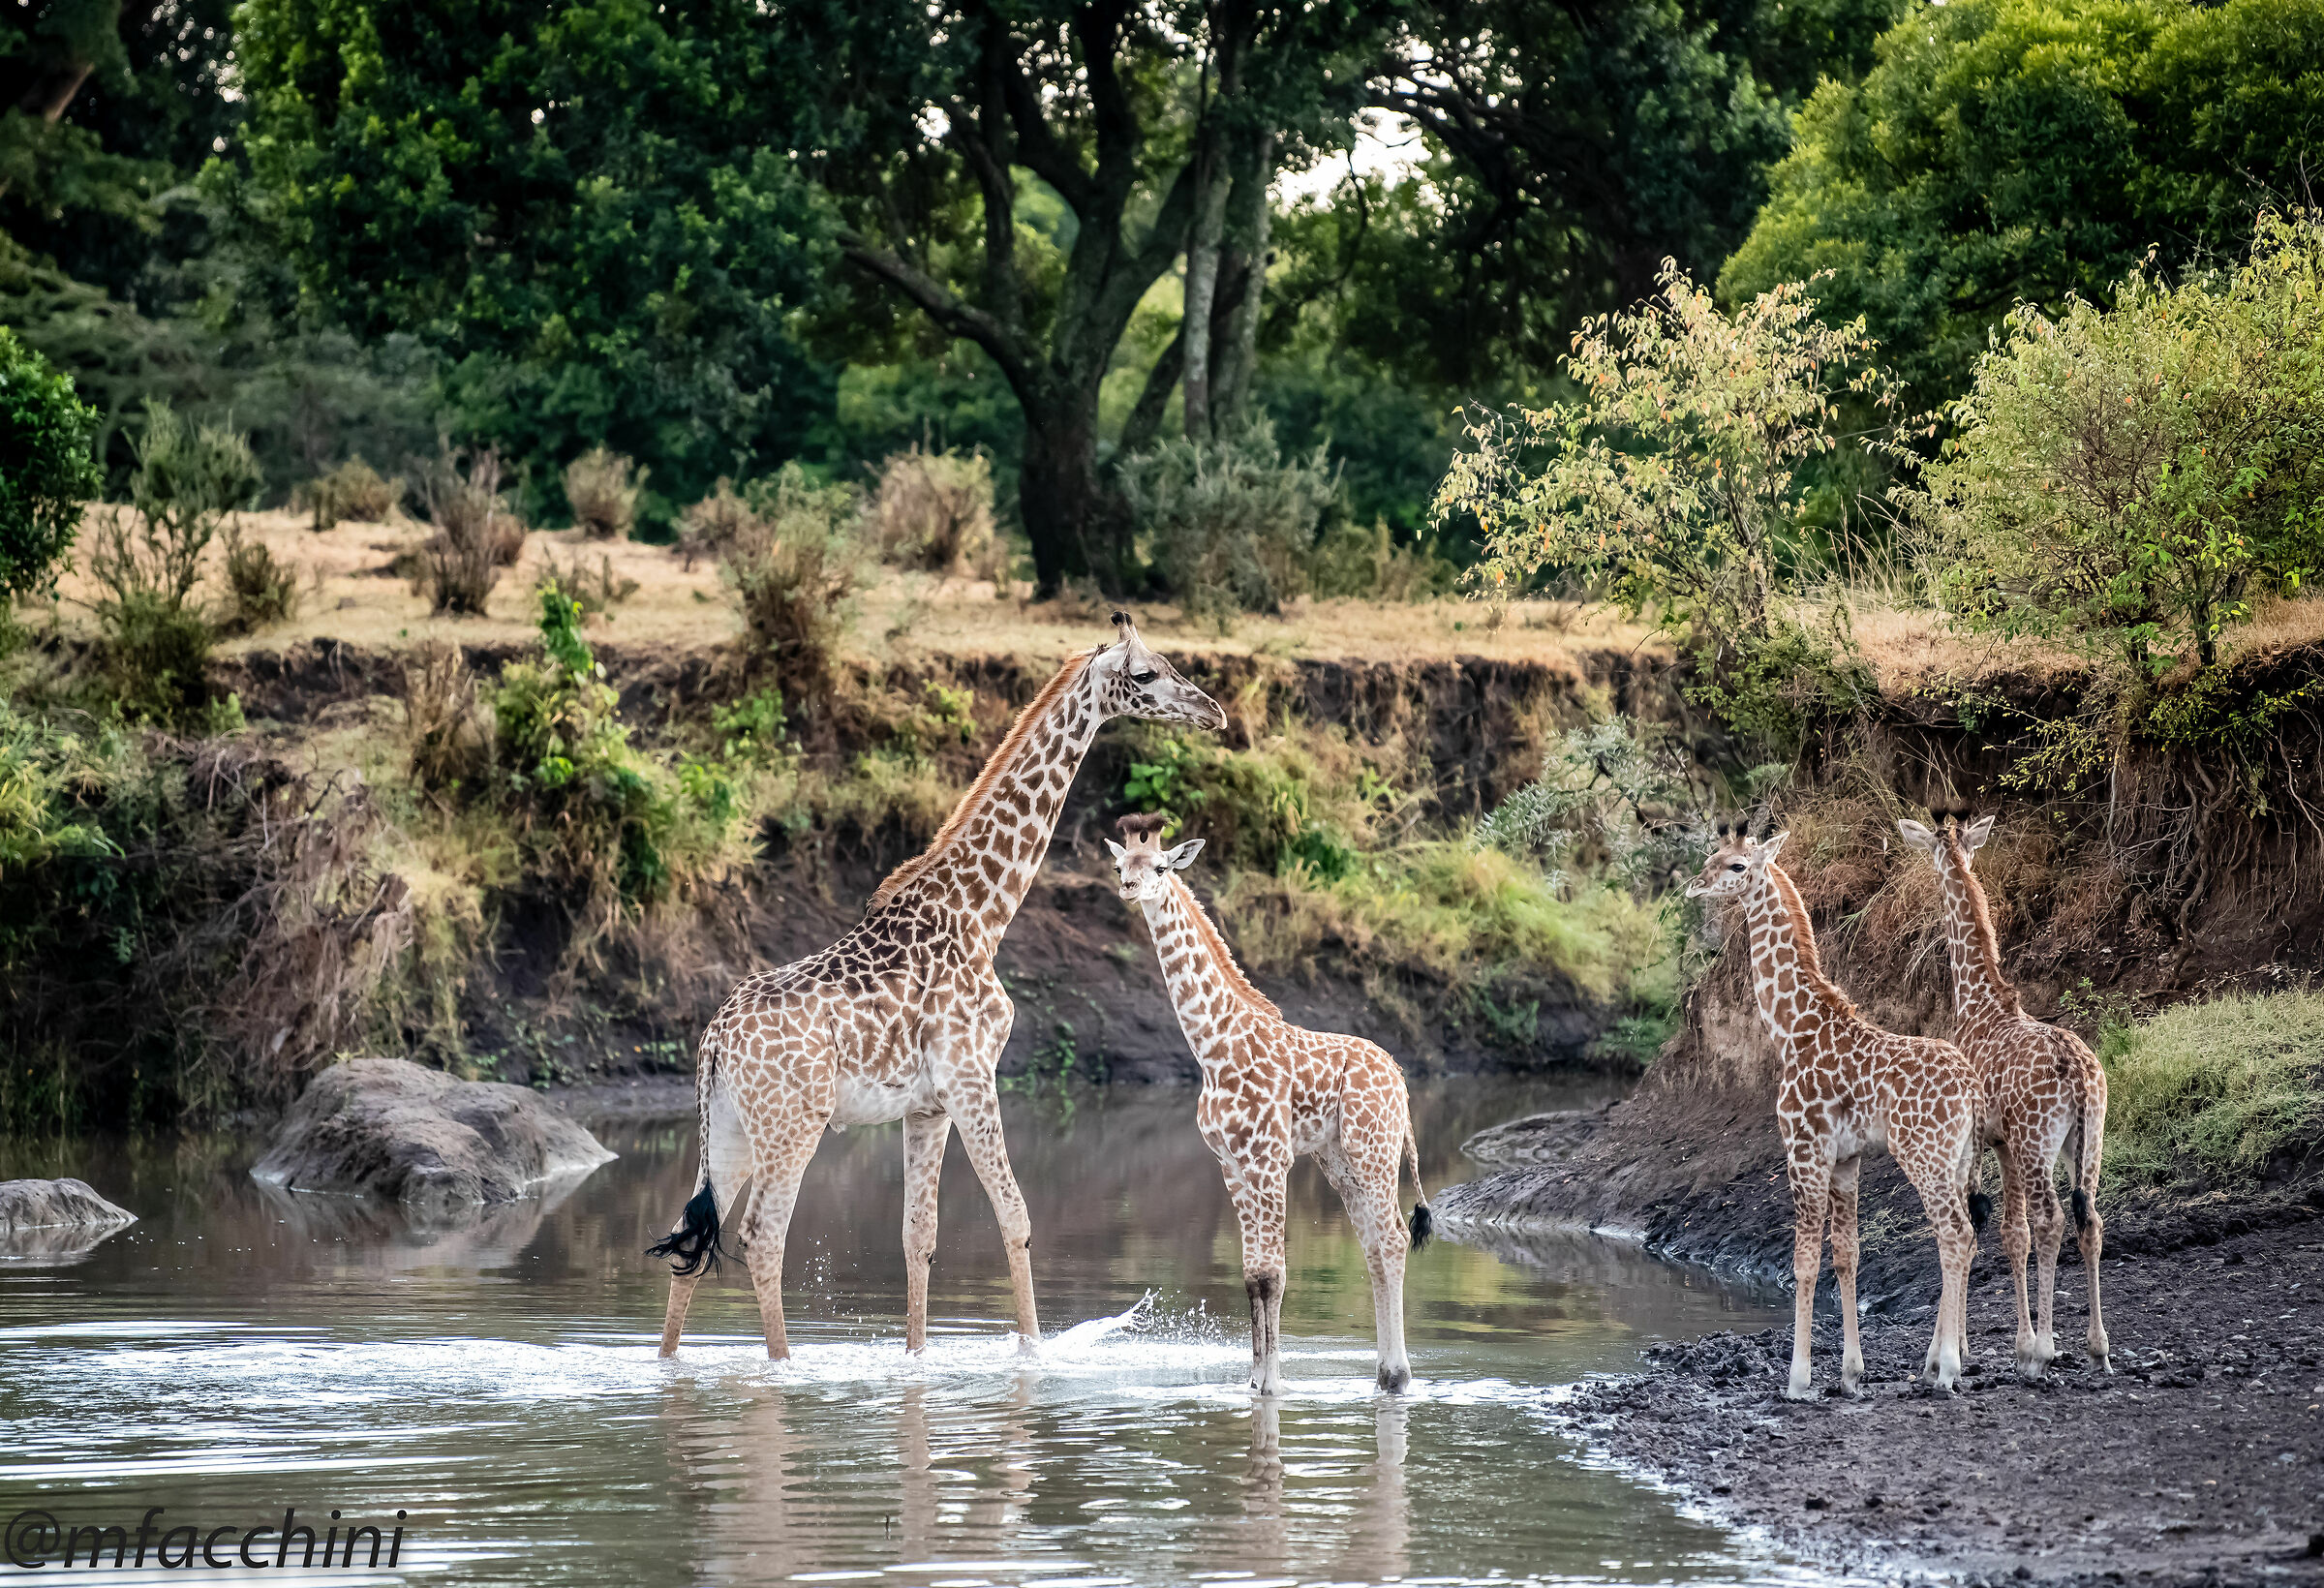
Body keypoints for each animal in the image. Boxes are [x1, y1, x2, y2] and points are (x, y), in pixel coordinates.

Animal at [650, 614, 1227, 1359]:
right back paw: (782, 1366)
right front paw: (1032, 1352)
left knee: (690, 1242)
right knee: (759, 1238)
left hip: (726, 1125)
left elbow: (917, 1238)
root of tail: (715, 1039)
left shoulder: (926, 1106)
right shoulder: (972, 1078)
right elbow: (1015, 1215)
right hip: (791, 1124)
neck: (982, 913)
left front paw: (917, 1357)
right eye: (1148, 673)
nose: (1211, 711)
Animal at [1106, 814, 1432, 1395]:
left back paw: (1397, 1375)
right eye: (1122, 864)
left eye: (1161, 866)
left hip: (1374, 1149)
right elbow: (1251, 1276)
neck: (1213, 1048)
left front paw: (1275, 1383)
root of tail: (1399, 1077)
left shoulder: (1269, 1160)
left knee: (1393, 1238)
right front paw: (1253, 1381)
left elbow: (1274, 1274)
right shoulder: (1232, 1166)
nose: (1129, 887)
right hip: (1339, 1159)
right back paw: (1381, 1374)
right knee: (1374, 1244)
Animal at [1687, 822, 1984, 1398]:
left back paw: (1947, 1370)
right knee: (1963, 1236)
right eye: (1712, 856)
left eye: (1737, 865)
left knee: (1956, 1234)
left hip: (1925, 1156)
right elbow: (1847, 1256)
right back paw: (1944, 1362)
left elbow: (1804, 1261)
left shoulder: (1804, 1147)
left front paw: (1798, 1378)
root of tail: (1972, 1090)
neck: (1791, 1028)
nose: (1694, 886)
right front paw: (1850, 1372)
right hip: (1959, 1159)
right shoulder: (1847, 1158)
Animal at [1897, 809, 2111, 1378]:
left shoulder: (1984, 1142)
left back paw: (2046, 1353)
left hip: (2039, 1143)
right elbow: (2011, 1234)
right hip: (2087, 1141)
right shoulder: (2004, 1142)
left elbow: (1984, 1227)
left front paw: (1960, 1351)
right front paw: (2010, 1343)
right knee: (2089, 1219)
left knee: (2051, 1219)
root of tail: (2079, 1075)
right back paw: (2097, 1348)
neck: (1978, 1001)